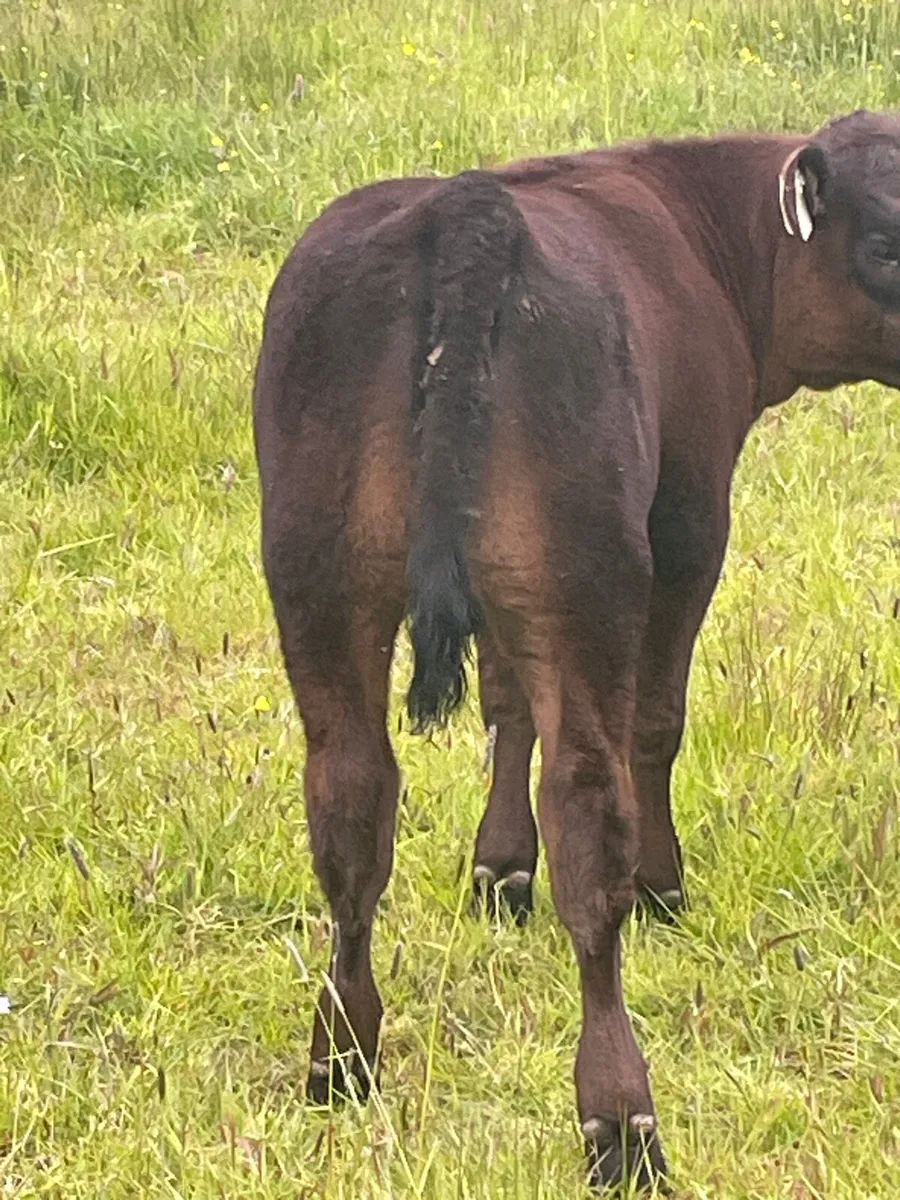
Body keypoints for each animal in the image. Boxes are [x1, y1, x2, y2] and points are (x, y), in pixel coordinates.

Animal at [252, 109, 900, 1191]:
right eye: (888, 242)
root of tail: (468, 206)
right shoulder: (690, 523)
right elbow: (655, 725)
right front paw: (662, 890)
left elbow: (506, 707)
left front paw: (496, 874)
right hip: (592, 572)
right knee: (590, 813)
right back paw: (622, 1121)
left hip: (324, 576)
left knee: (350, 803)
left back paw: (341, 1059)